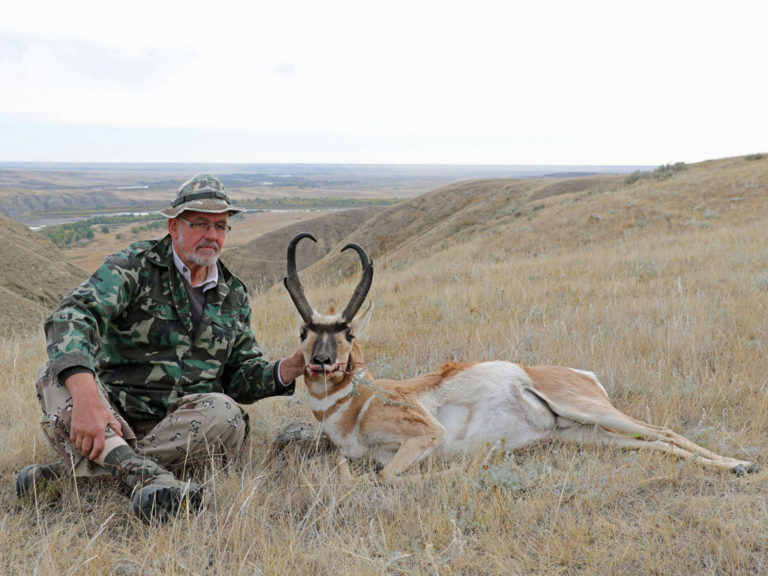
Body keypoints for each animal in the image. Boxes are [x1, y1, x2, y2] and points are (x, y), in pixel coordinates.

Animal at [284, 232, 760, 480]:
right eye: (305, 330)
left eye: (347, 331)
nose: (322, 363)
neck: (358, 403)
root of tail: (578, 373)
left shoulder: (425, 435)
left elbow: (386, 476)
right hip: (581, 433)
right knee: (651, 443)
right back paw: (739, 467)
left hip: (590, 411)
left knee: (662, 430)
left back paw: (744, 464)